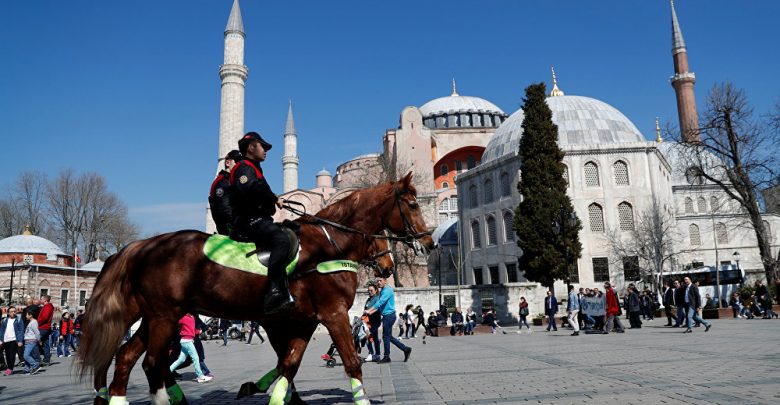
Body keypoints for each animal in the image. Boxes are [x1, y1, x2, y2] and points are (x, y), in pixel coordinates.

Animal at [77, 173, 433, 405]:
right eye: (413, 204)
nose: (427, 243)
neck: (326, 245)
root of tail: (142, 246)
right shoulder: (331, 313)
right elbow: (350, 363)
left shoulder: (302, 319)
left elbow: (289, 363)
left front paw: (268, 392)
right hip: (163, 316)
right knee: (153, 365)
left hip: (154, 316)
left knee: (126, 358)